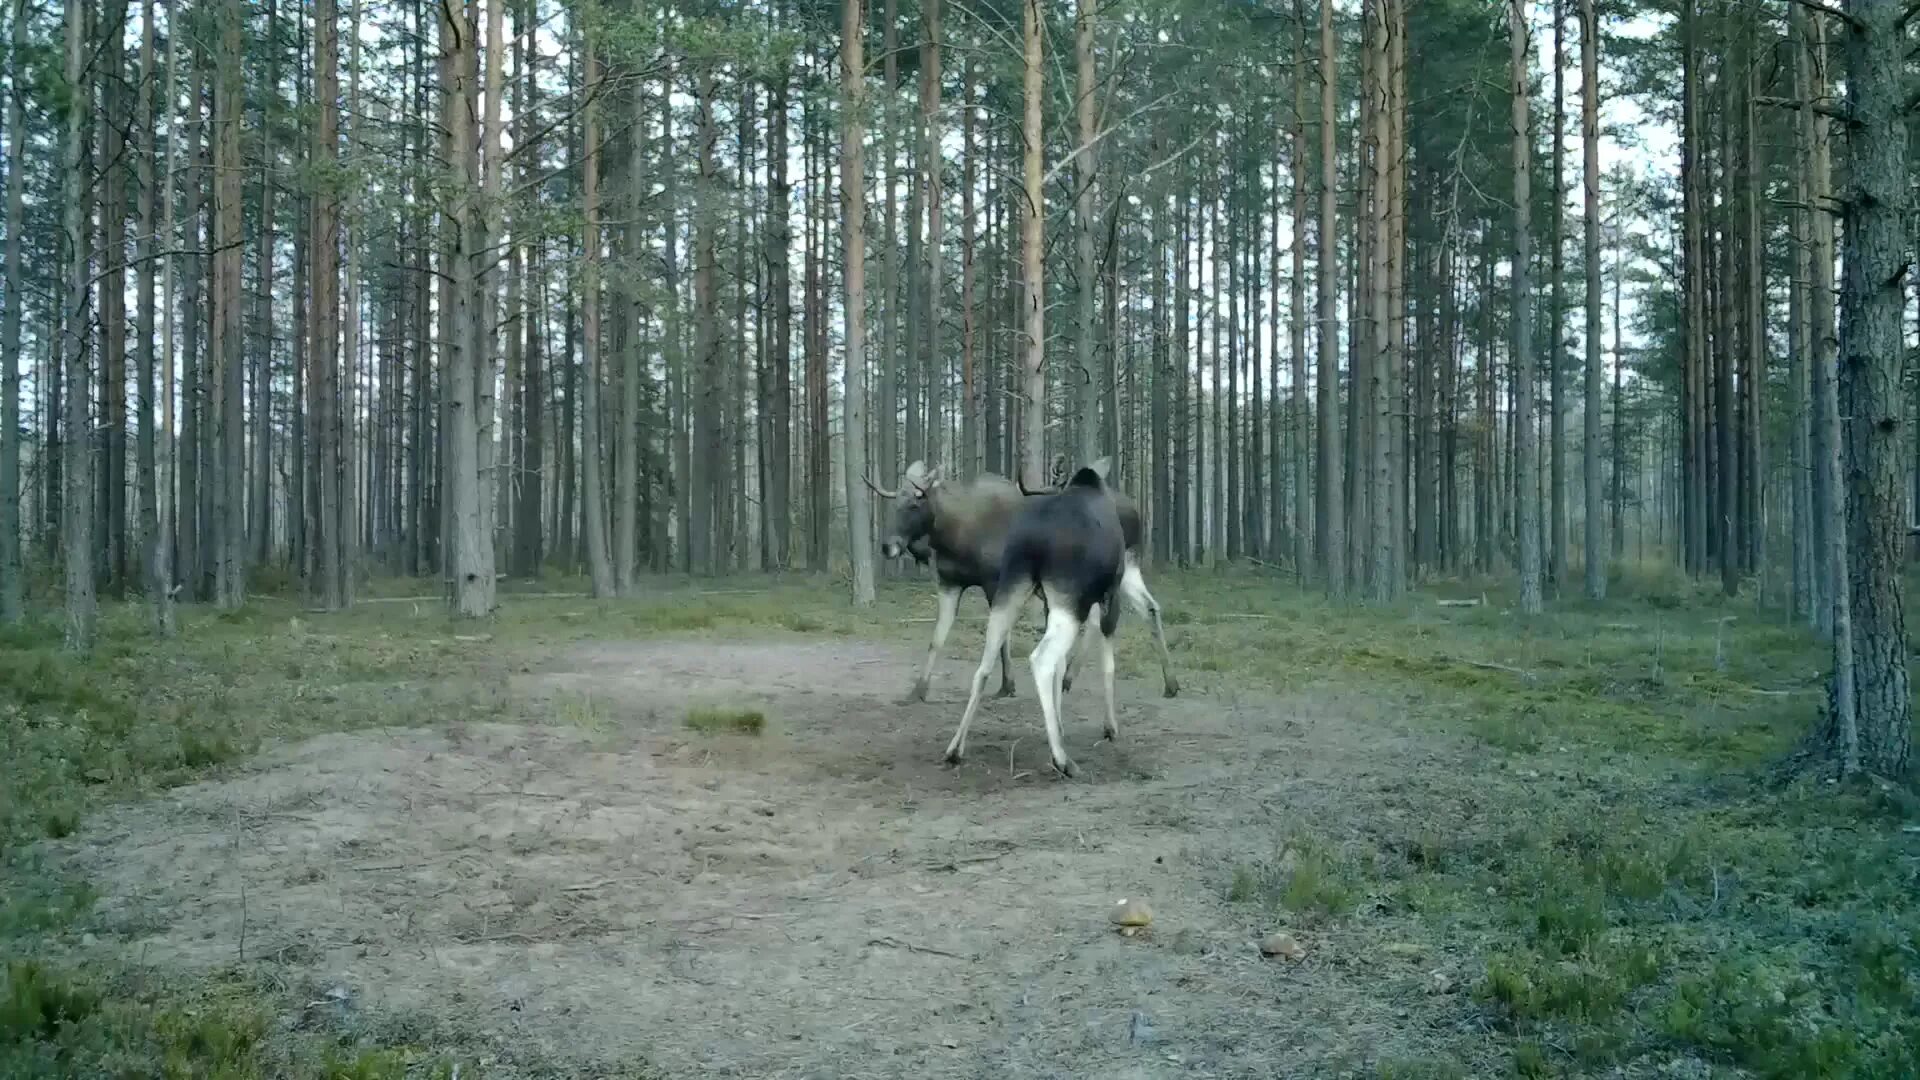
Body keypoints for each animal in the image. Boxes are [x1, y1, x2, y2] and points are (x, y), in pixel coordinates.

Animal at [867, 457, 1167, 703]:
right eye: (895, 503)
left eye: (914, 503)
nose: (887, 546)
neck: (954, 534)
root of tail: (1137, 513)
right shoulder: (950, 583)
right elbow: (937, 638)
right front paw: (918, 690)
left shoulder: (996, 583)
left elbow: (1002, 640)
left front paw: (1007, 685)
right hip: (1120, 572)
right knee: (1148, 607)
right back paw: (1168, 684)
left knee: (1101, 619)